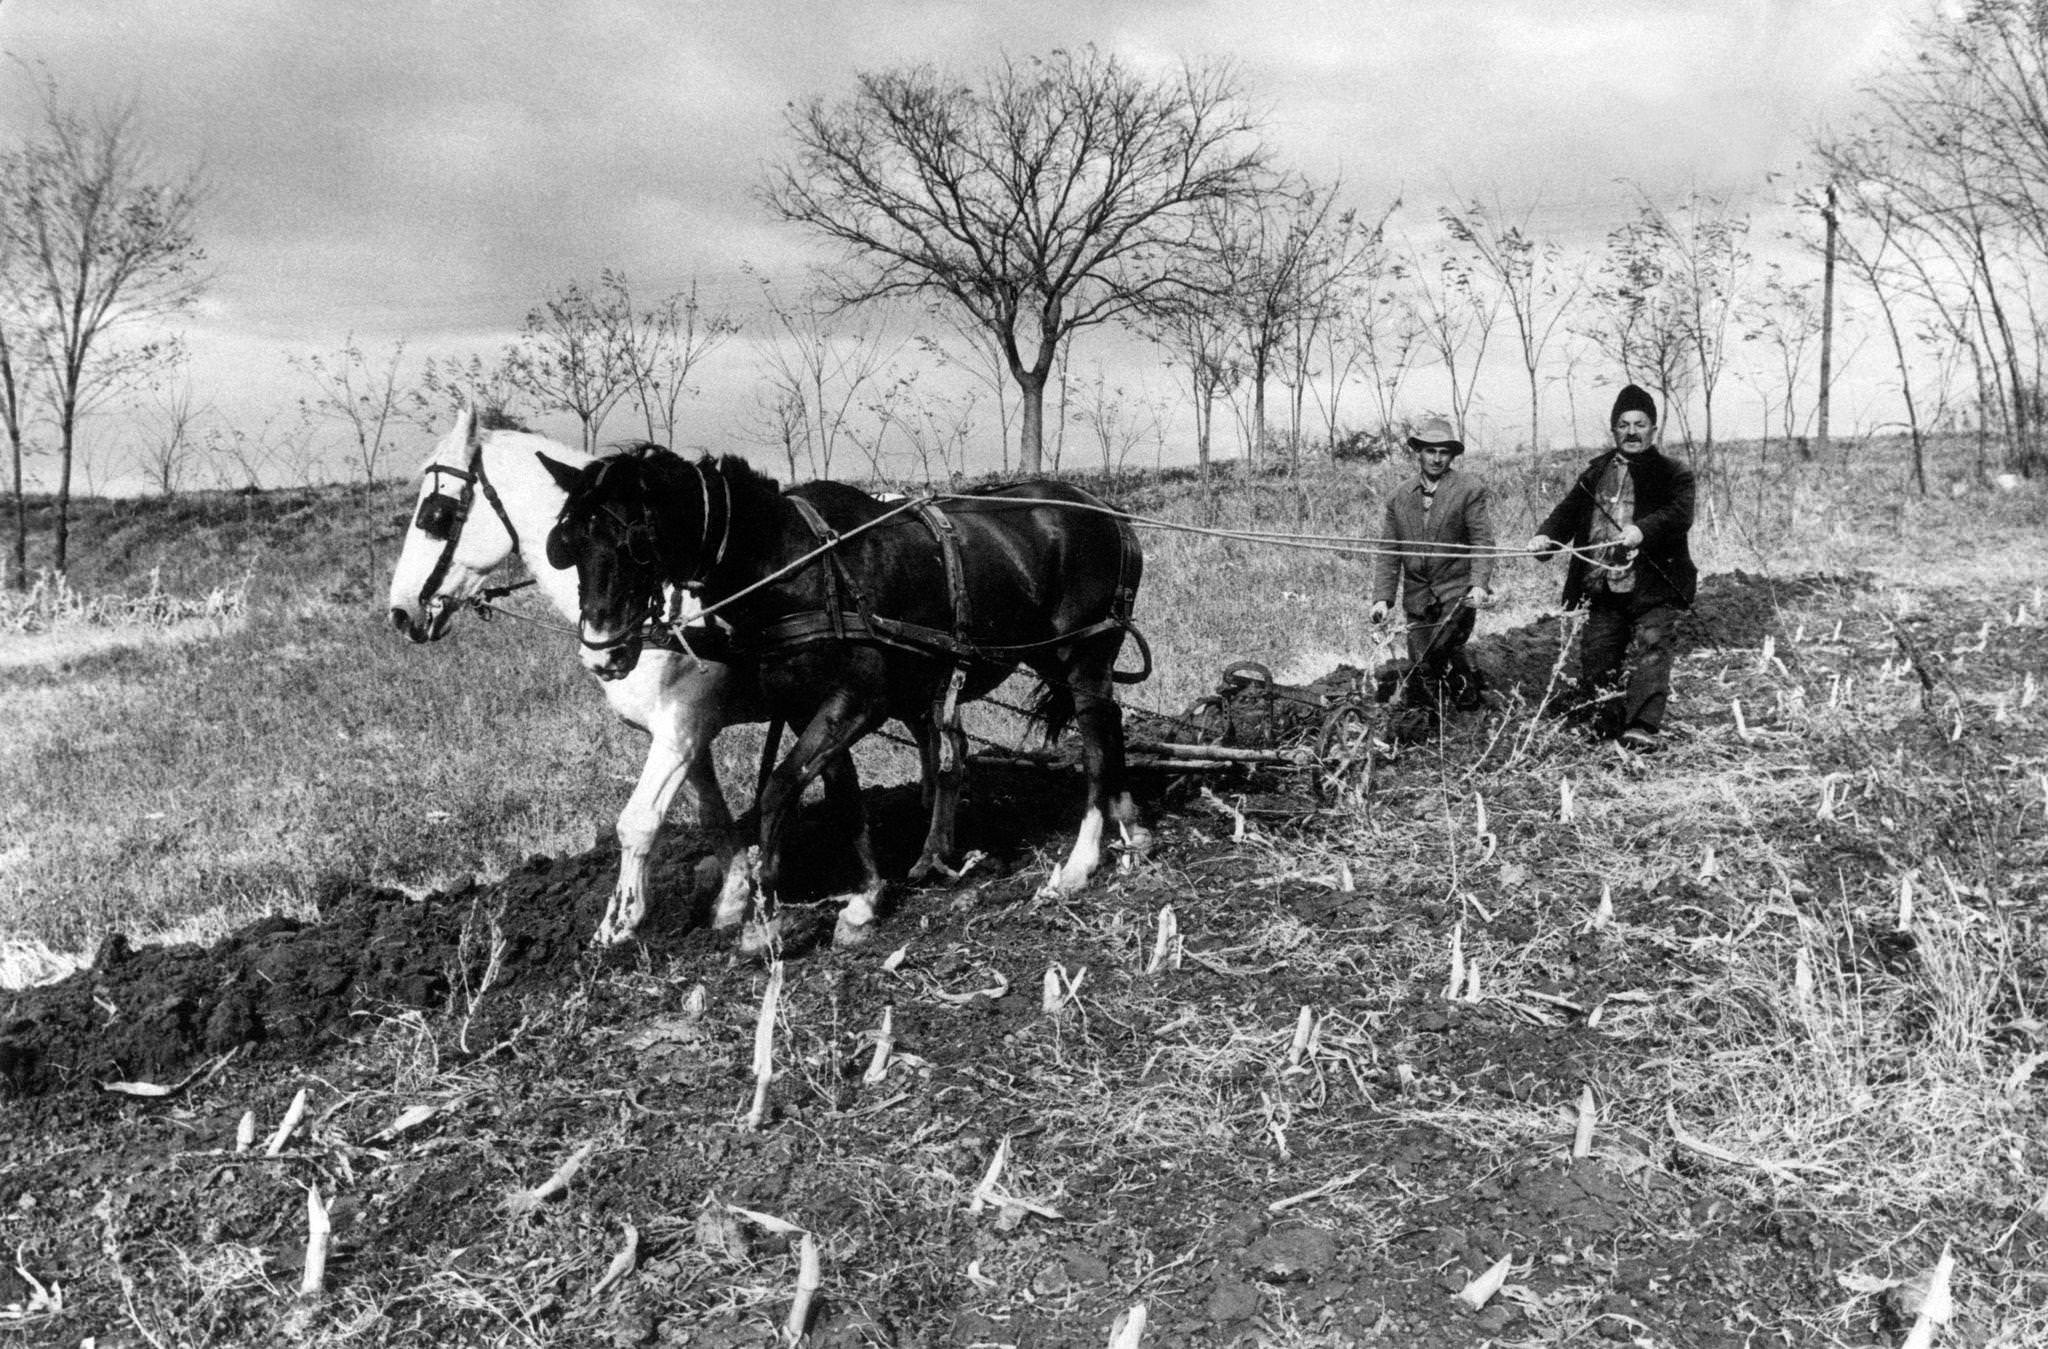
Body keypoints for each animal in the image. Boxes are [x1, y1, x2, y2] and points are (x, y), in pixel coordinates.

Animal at [385, 407, 769, 945]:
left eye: (436, 513)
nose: (401, 613)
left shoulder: (680, 729)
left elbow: (638, 821)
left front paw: (618, 924)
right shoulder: (689, 736)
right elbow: (714, 817)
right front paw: (732, 904)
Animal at [539, 450, 1153, 950]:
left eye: (635, 544)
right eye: (568, 545)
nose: (601, 652)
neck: (794, 565)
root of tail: (1105, 509)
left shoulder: (857, 701)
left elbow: (779, 788)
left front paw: (764, 916)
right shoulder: (808, 708)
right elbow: (842, 796)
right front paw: (866, 899)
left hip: (1084, 654)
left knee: (1095, 743)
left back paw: (1079, 863)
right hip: (1049, 657)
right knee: (1109, 725)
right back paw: (1131, 830)